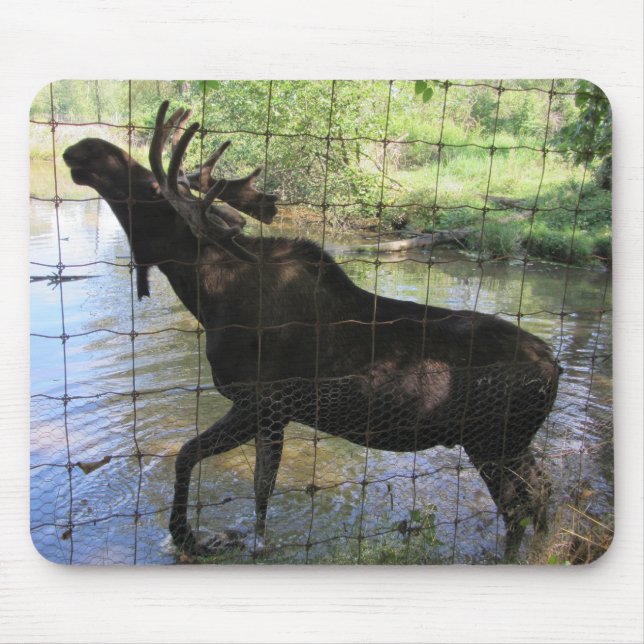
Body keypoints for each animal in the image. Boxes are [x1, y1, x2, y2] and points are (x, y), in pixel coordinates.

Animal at [63, 101, 560, 561]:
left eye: (152, 187)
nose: (83, 148)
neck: (208, 296)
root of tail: (555, 369)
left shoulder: (260, 404)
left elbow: (190, 458)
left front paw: (188, 538)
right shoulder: (274, 414)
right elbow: (259, 493)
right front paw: (243, 540)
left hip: (493, 442)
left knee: (519, 508)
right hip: (513, 444)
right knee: (543, 492)